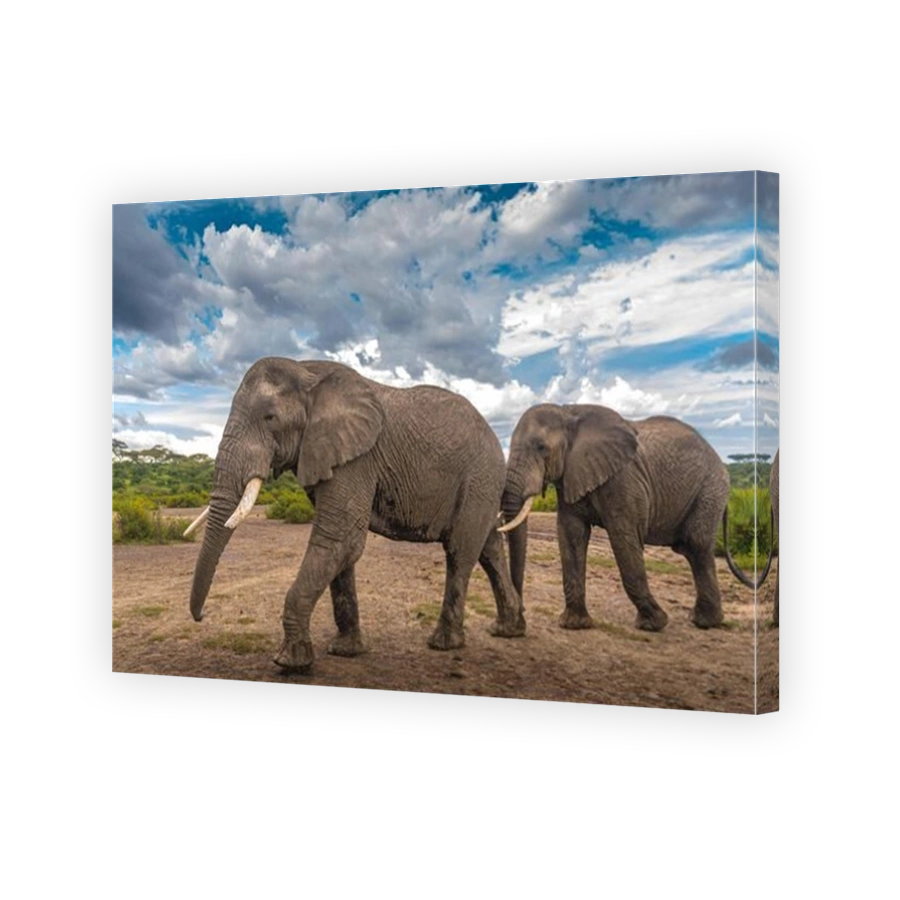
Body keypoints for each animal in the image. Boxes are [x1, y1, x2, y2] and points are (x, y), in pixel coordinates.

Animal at [185, 357, 525, 673]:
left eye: (270, 418)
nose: (201, 617)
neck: (306, 370)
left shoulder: (359, 458)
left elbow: (341, 538)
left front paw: (290, 663)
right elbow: (339, 548)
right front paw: (345, 651)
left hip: (479, 477)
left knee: (460, 551)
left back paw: (444, 644)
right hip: (483, 484)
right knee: (489, 549)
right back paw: (509, 630)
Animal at [499, 403, 755, 633]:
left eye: (541, 447)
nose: (520, 616)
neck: (568, 411)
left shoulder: (623, 479)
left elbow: (623, 538)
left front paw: (653, 624)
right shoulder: (571, 475)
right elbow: (571, 536)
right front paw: (573, 625)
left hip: (710, 488)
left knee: (696, 544)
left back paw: (704, 622)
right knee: (691, 549)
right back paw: (702, 620)